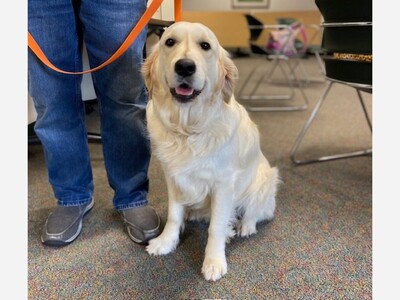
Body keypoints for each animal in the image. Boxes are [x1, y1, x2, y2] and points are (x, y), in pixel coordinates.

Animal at [143, 21, 278, 282]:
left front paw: (214, 261)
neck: (187, 129)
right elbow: (174, 214)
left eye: (205, 46)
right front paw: (166, 241)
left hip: (265, 178)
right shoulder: (173, 177)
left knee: (257, 211)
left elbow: (216, 226)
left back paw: (246, 226)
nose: (185, 66)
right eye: (169, 42)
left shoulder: (223, 184)